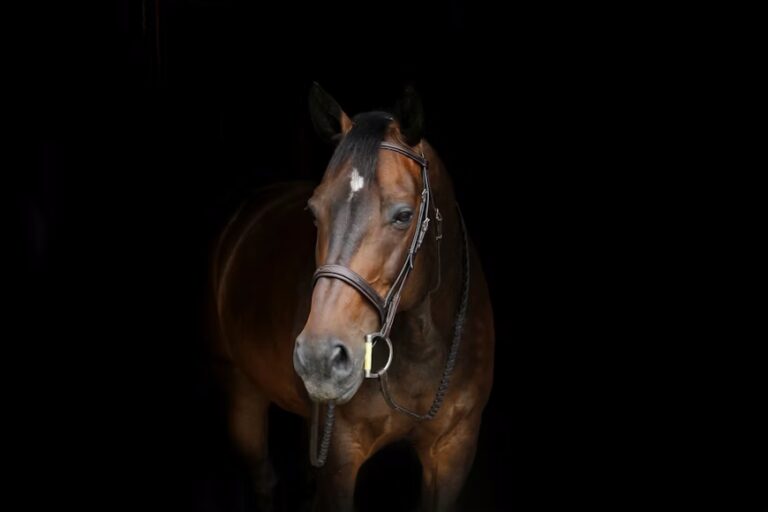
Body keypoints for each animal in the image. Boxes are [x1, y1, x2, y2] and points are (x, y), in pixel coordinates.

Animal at [212, 84, 495, 511]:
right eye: (314, 212)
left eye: (404, 215)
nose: (319, 357)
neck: (422, 347)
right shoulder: (340, 459)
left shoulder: (453, 451)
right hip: (242, 389)